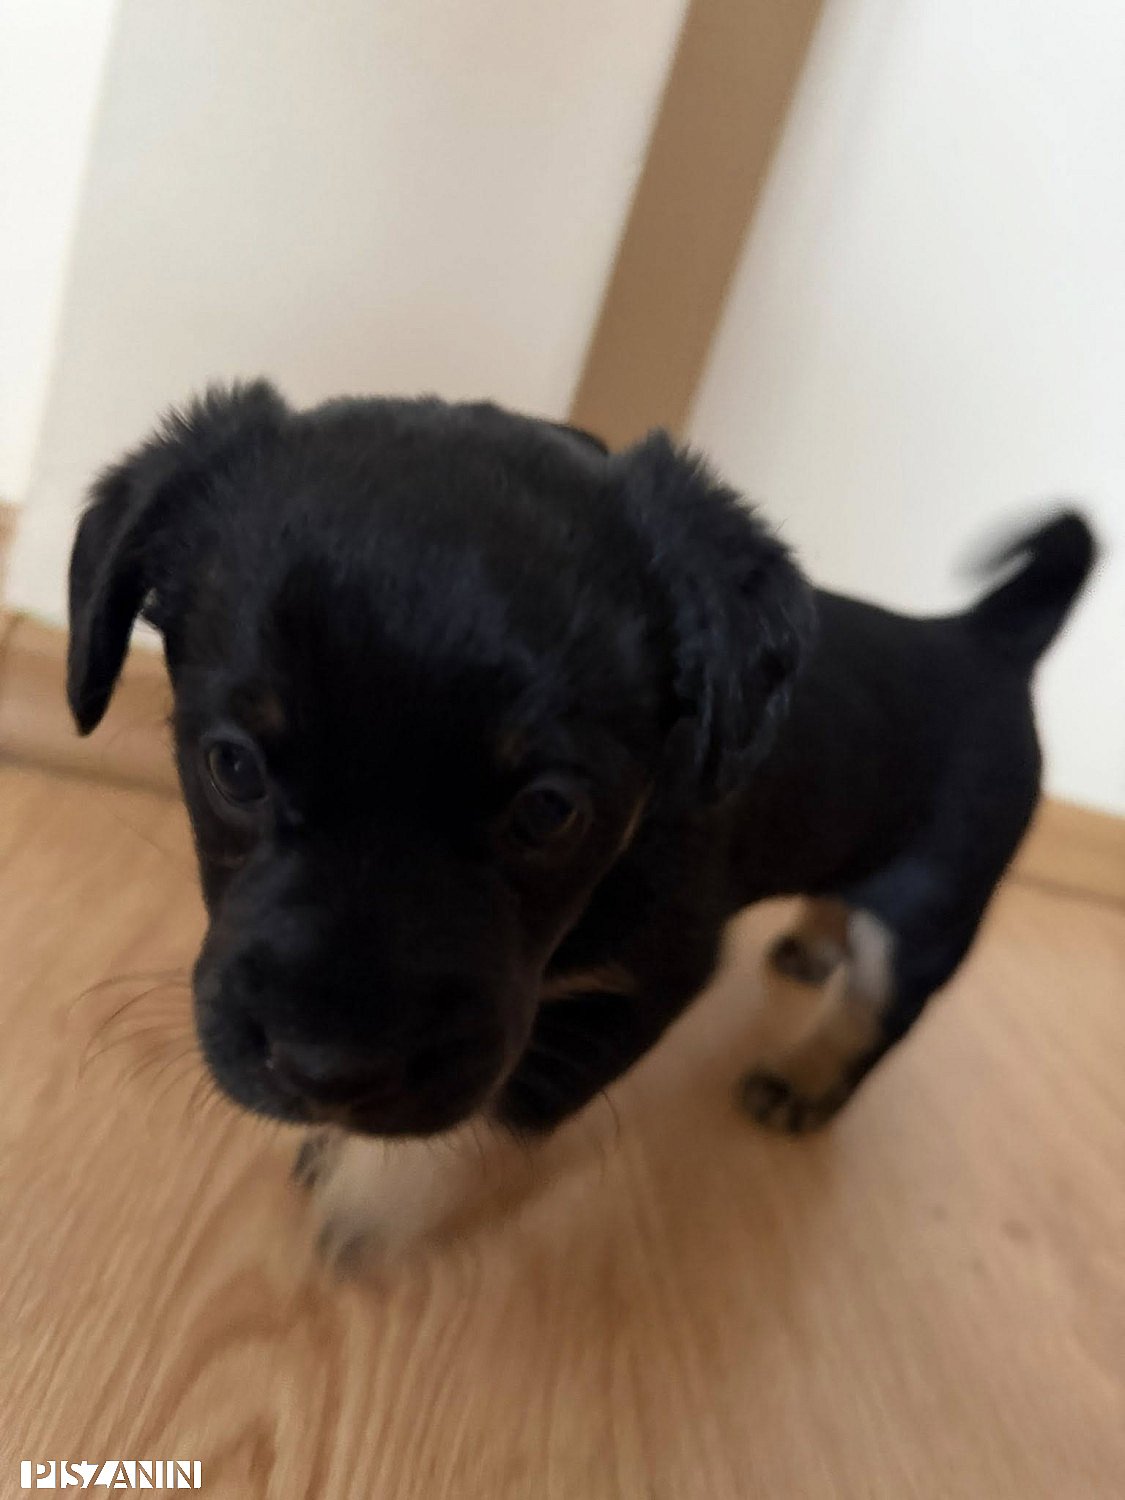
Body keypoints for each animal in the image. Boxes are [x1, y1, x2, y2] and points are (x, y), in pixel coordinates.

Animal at [67, 382, 1095, 1260]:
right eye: (232, 766)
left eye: (548, 811)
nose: (330, 1072)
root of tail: (986, 639)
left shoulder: (642, 979)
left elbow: (501, 1110)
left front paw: (371, 1201)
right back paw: (812, 941)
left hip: (936, 902)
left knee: (877, 1009)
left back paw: (802, 1080)